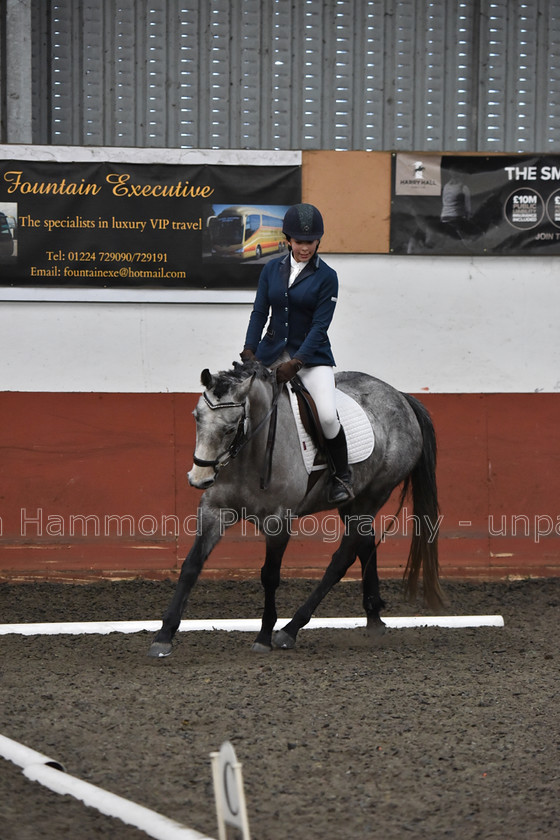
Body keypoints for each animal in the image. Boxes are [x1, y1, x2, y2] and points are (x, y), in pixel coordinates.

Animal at [147, 360, 444, 656]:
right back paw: (373, 618)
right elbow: (191, 565)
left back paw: (290, 630)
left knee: (342, 558)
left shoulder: (278, 523)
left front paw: (264, 636)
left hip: (372, 496)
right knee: (365, 544)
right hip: (353, 503)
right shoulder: (214, 511)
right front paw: (164, 635)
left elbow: (270, 576)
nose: (199, 479)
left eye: (231, 428)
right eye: (196, 417)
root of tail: (400, 396)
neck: (250, 454)